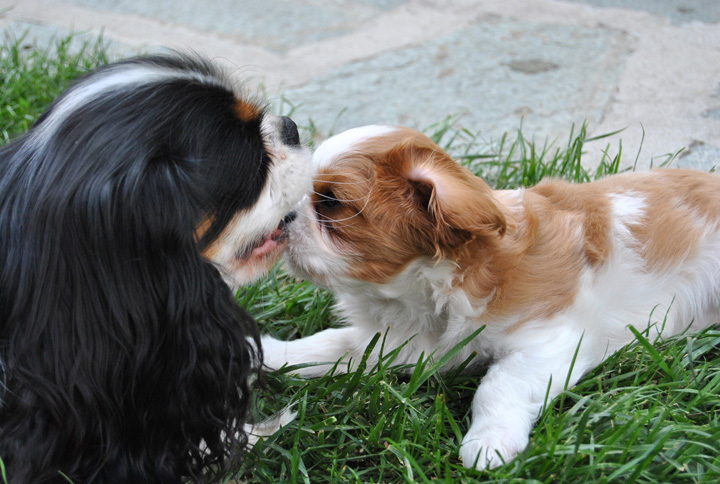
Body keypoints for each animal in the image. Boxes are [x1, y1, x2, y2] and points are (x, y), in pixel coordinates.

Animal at [262, 125, 720, 470]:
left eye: (331, 203)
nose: (282, 218)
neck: (422, 294)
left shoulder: (547, 340)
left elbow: (499, 384)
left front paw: (488, 442)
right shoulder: (391, 340)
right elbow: (328, 345)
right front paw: (270, 353)